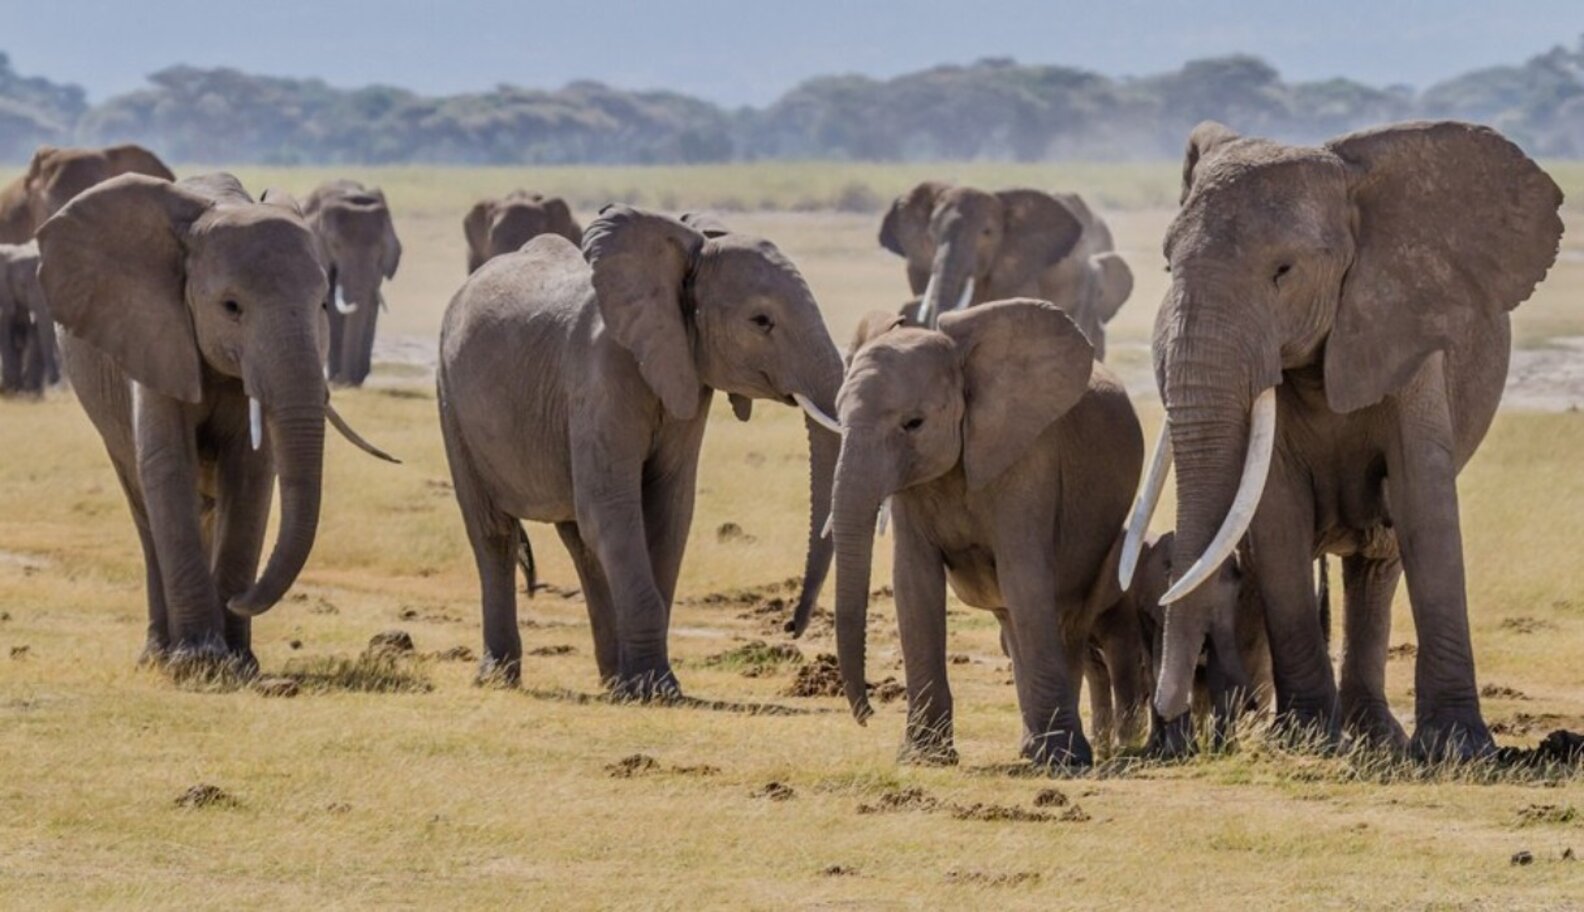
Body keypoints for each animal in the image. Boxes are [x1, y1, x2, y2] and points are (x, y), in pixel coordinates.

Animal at [0, 241, 59, 395]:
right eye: (23, 285)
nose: (54, 380)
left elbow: (36, 333)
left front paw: (31, 392)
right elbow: (5, 334)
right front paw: (13, 389)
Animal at [303, 181, 402, 387]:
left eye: (381, 247)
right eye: (334, 244)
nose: (349, 381)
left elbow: (371, 304)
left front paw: (355, 379)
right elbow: (333, 308)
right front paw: (338, 380)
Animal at [438, 205, 844, 696]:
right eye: (761, 321)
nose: (789, 627)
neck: (687, 252)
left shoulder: (686, 373)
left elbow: (667, 512)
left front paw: (645, 685)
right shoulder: (600, 371)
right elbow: (612, 508)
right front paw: (658, 690)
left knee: (582, 542)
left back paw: (612, 680)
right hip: (450, 398)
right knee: (494, 533)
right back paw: (499, 678)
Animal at [830, 299, 1143, 767]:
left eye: (914, 423)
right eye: (837, 414)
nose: (867, 715)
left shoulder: (1028, 458)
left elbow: (1023, 577)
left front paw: (1062, 761)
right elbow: (914, 583)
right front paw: (924, 758)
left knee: (1066, 620)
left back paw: (1055, 753)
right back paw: (1033, 748)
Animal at [1118, 120, 1563, 760]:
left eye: (1284, 271)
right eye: (1166, 266)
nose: (1169, 708)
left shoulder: (1410, 338)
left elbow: (1422, 503)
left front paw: (1458, 748)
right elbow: (1277, 512)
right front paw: (1305, 740)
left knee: (1378, 559)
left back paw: (1378, 738)